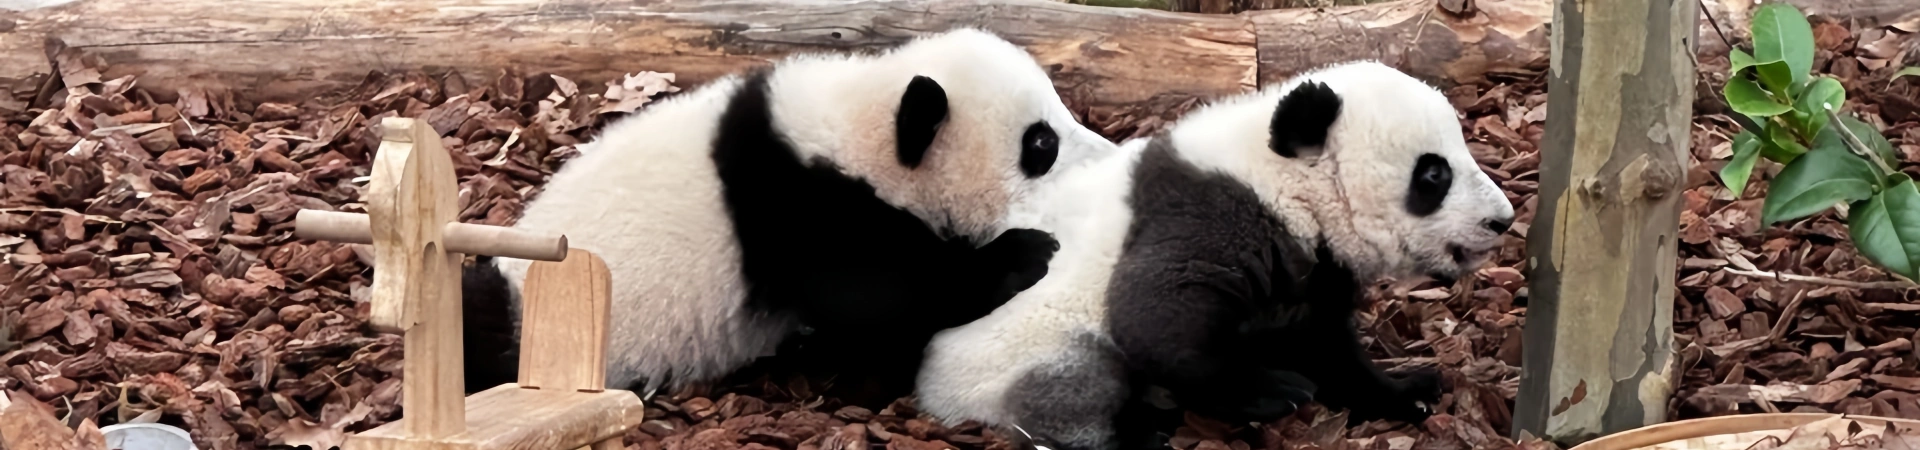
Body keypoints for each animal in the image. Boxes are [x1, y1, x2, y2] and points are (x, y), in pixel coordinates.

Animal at [458, 28, 1117, 400]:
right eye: (1040, 144)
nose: (1108, 153)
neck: (860, 125)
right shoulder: (810, 214)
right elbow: (885, 300)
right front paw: (1026, 250)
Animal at [913, 60, 1517, 450]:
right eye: (1434, 174)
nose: (1502, 220)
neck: (1289, 181)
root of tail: (931, 398)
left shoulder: (1314, 268)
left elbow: (1326, 342)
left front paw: (1407, 392)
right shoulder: (1206, 212)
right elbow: (1155, 315)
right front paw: (1274, 390)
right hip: (1012, 354)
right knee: (1074, 384)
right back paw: (1134, 429)